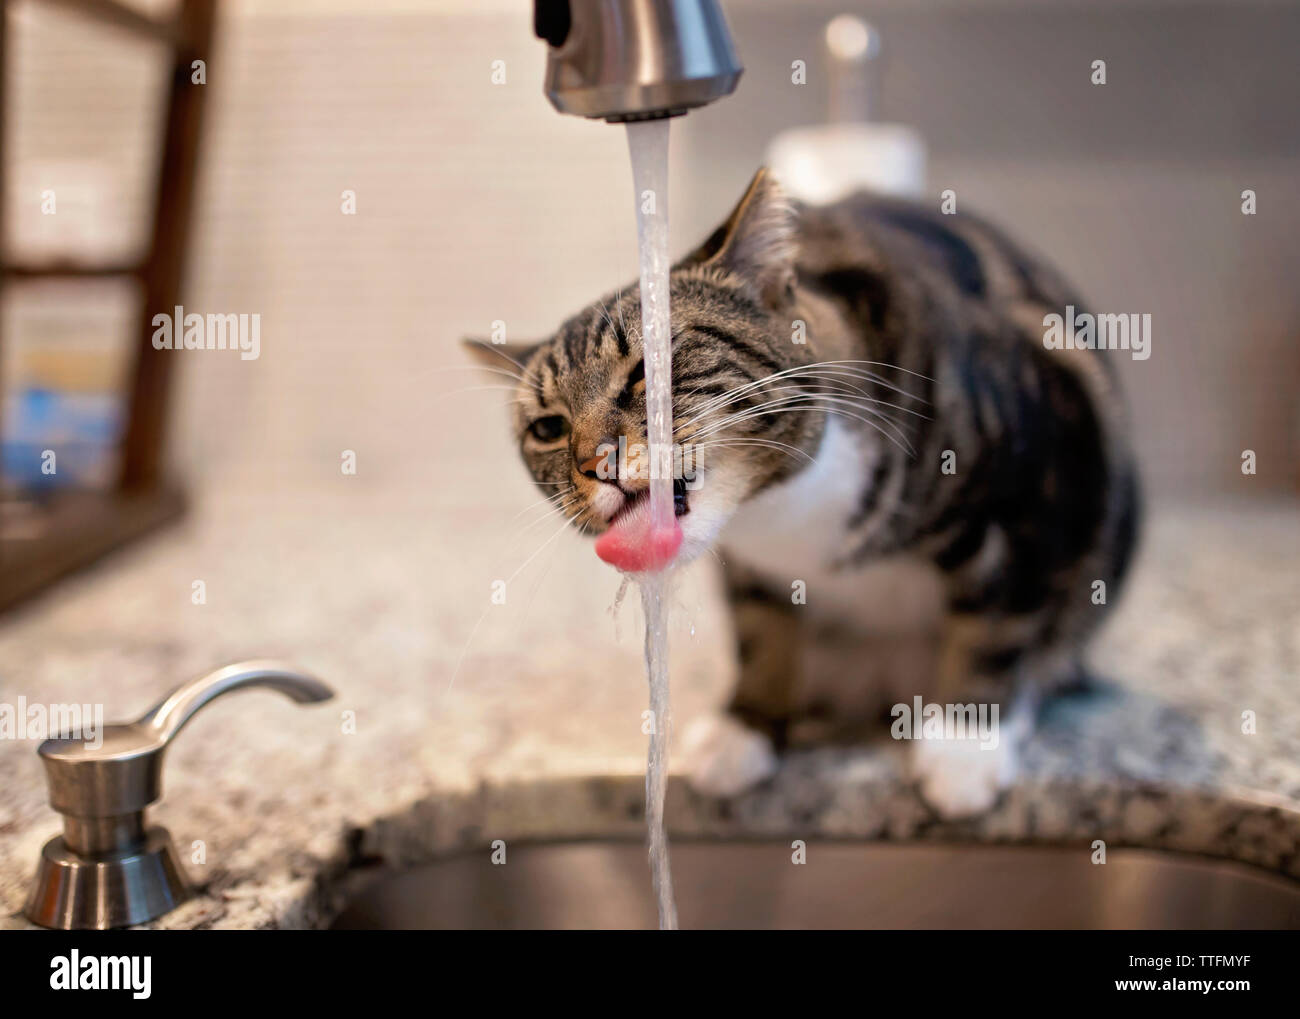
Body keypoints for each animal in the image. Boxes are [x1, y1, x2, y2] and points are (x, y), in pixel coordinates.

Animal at [467, 168, 1138, 821]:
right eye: (547, 428)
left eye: (648, 374)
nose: (592, 463)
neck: (787, 513)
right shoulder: (752, 569)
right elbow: (763, 634)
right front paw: (745, 727)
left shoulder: (1029, 496)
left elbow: (995, 627)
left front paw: (964, 746)